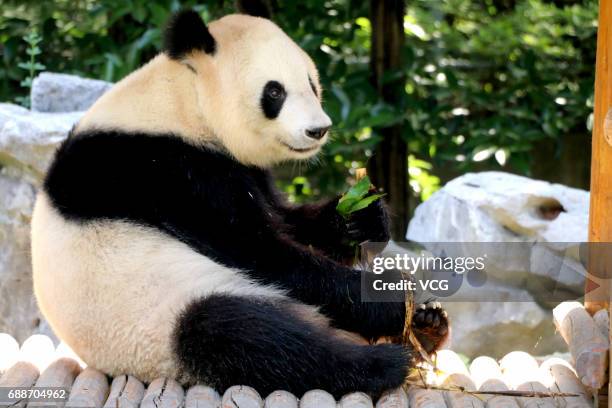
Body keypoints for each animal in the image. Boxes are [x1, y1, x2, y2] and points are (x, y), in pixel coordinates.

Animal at [29, 8, 450, 398]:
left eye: (311, 84)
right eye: (275, 92)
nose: (318, 129)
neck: (184, 101)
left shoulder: (238, 169)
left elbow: (287, 221)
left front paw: (362, 217)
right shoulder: (166, 172)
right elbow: (263, 253)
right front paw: (390, 295)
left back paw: (429, 325)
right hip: (156, 315)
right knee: (243, 336)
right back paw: (384, 361)